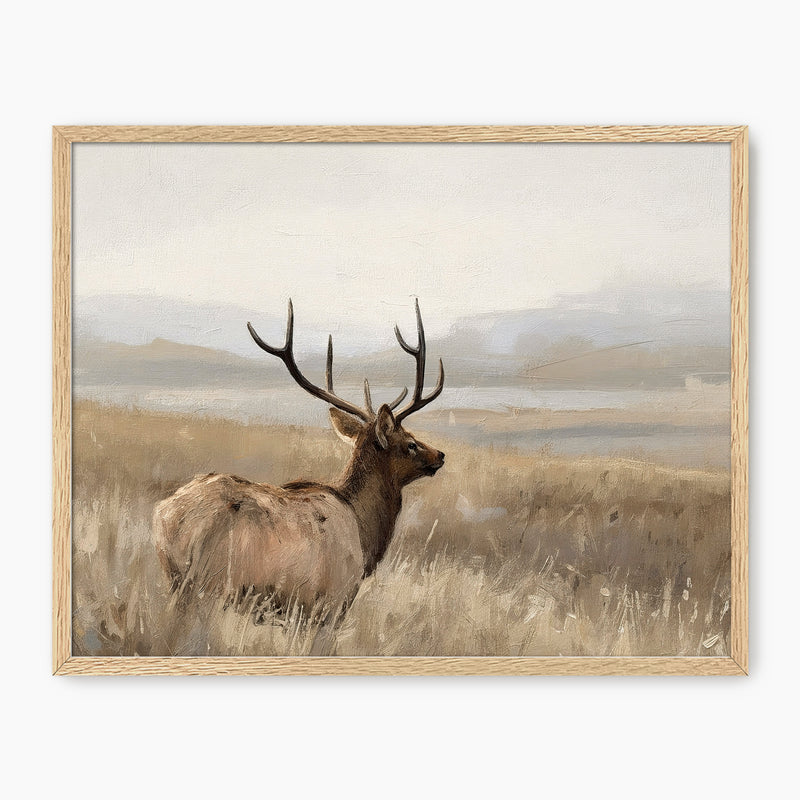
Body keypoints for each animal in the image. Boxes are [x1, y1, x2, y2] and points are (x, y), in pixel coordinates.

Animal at [152, 299, 445, 625]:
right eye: (410, 443)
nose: (440, 455)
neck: (365, 534)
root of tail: (169, 517)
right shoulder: (329, 604)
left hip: (176, 581)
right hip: (211, 585)